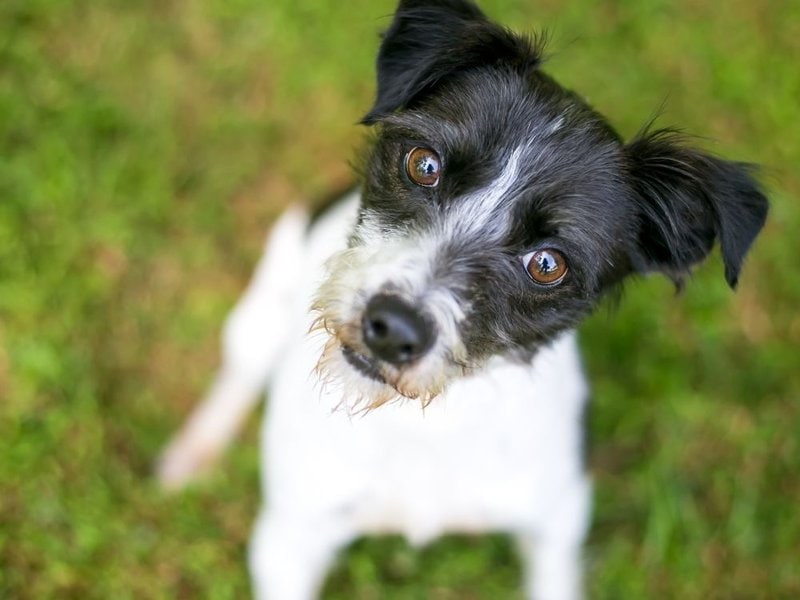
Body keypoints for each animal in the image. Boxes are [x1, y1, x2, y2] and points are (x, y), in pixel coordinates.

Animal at [158, 2, 768, 596]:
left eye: (548, 264)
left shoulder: (556, 530)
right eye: (423, 164)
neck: (426, 421)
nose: (394, 329)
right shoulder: (289, 538)